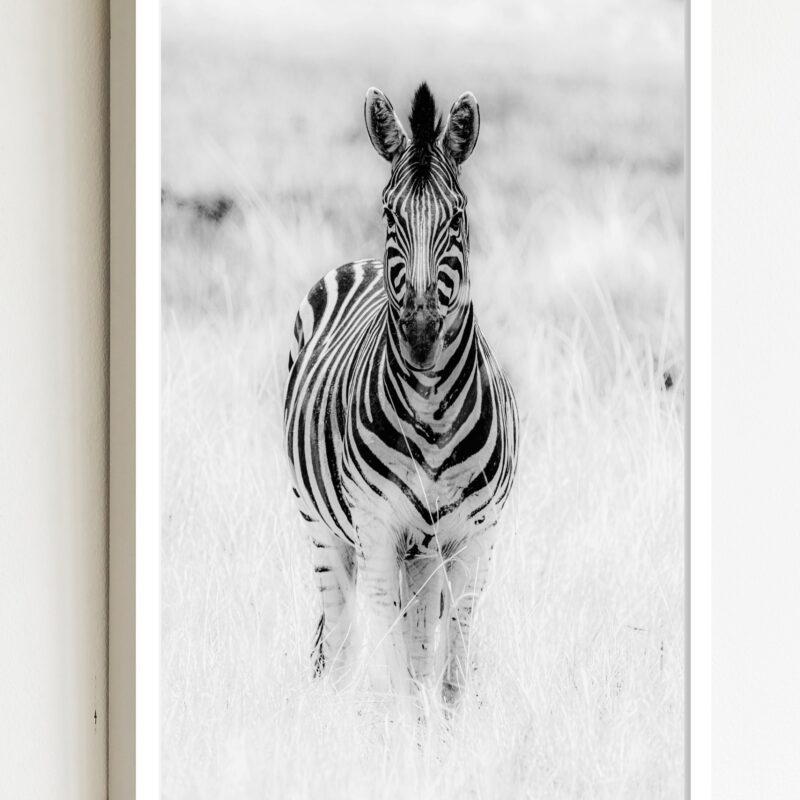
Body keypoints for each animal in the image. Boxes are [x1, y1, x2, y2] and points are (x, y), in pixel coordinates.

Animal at [283, 82, 518, 709]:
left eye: (457, 215)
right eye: (390, 213)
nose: (419, 333)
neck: (431, 411)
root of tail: (361, 263)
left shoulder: (473, 541)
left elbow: (450, 673)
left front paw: (447, 732)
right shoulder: (378, 532)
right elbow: (400, 675)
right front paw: (407, 733)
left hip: (424, 552)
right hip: (322, 528)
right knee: (340, 637)